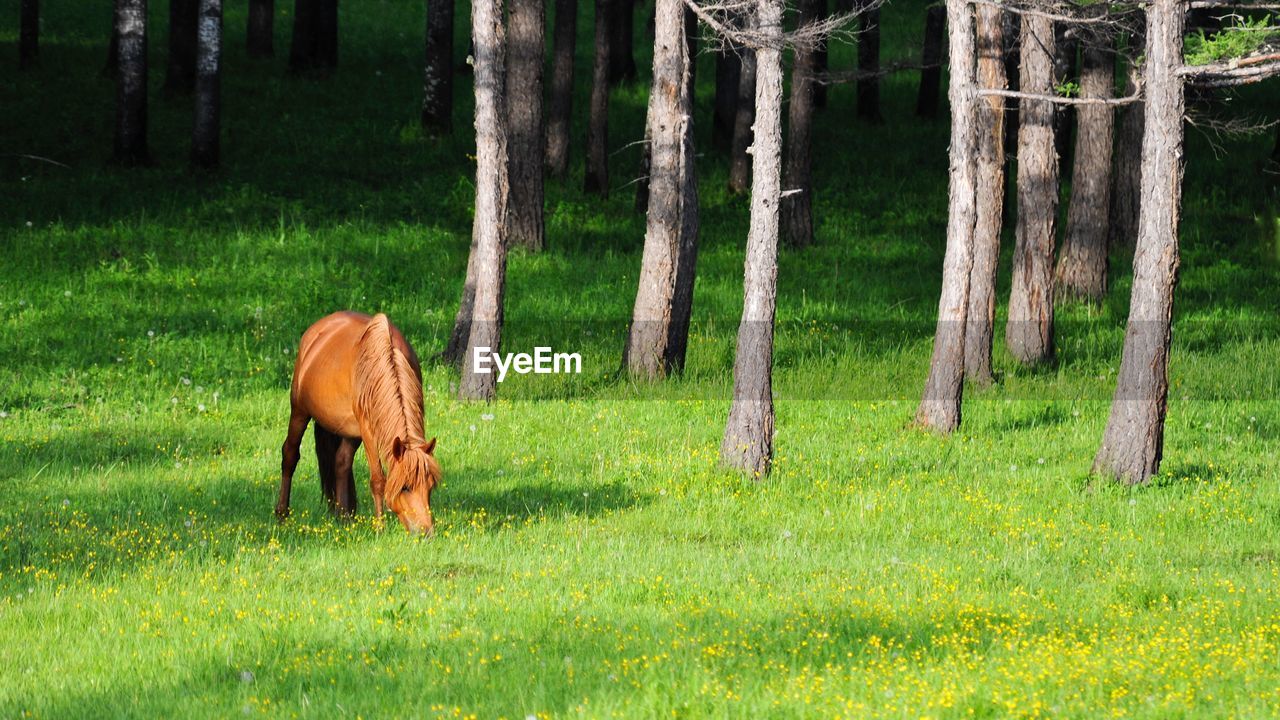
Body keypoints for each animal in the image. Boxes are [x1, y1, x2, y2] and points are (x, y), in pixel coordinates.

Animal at [277, 310, 442, 532]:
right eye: (405, 488)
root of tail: (315, 331)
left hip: (349, 430)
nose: (426, 532)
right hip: (300, 411)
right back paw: (282, 514)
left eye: (430, 486)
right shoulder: (368, 430)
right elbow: (378, 480)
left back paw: (343, 517)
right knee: (290, 455)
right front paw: (380, 527)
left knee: (341, 462)